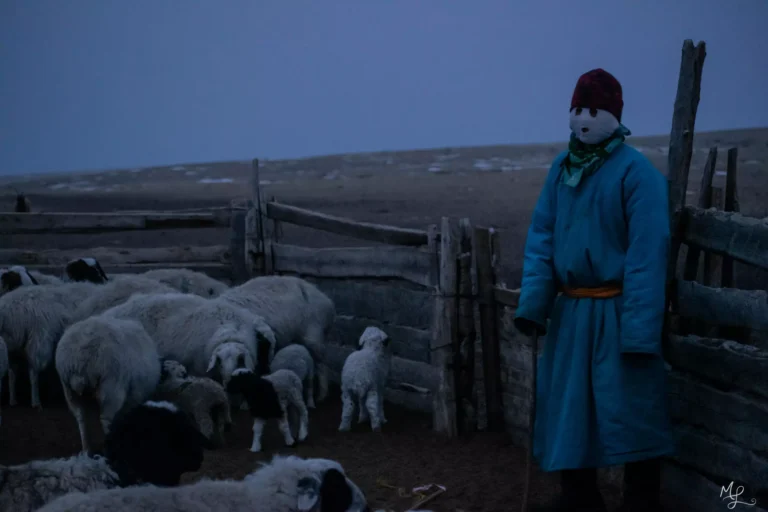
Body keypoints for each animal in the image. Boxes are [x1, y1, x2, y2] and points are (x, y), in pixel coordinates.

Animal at [0, 280, 99, 408]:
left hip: (13, 349)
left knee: (12, 374)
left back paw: (13, 400)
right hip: (37, 342)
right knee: (33, 373)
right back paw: (36, 402)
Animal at [54, 314, 164, 450]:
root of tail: (81, 356)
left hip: (69, 391)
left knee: (81, 418)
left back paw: (86, 448)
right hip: (110, 388)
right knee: (105, 419)